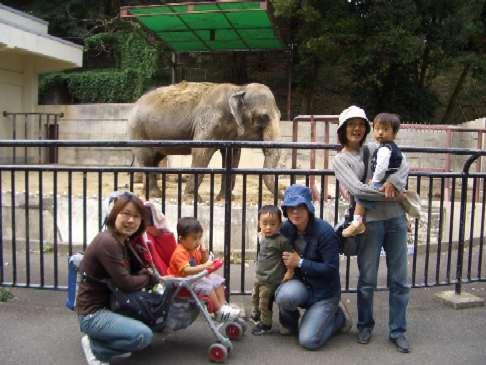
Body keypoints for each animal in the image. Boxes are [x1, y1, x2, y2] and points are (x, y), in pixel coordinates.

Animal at [127, 81, 280, 199]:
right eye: (263, 117)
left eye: (280, 116)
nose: (282, 193)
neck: (239, 88)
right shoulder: (209, 119)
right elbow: (201, 151)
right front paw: (192, 198)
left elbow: (233, 156)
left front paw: (224, 199)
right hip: (138, 131)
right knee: (147, 158)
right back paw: (155, 195)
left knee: (155, 158)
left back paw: (147, 193)